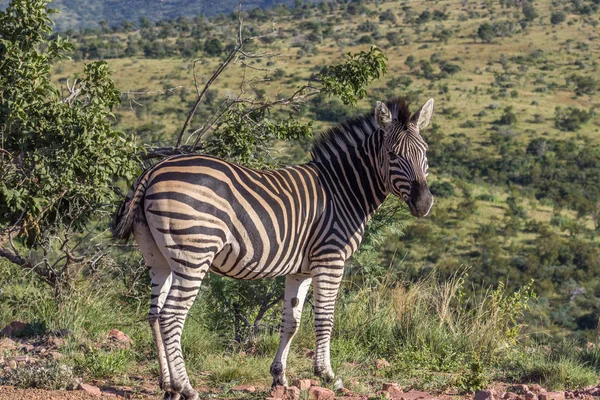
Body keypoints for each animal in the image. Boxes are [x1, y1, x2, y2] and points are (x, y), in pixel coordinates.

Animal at [111, 97, 432, 400]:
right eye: (393, 155)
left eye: (425, 153)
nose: (423, 204)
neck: (343, 190)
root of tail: (152, 171)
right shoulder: (330, 258)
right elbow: (325, 318)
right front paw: (328, 375)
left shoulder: (301, 269)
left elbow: (292, 321)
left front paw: (279, 377)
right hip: (194, 253)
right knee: (171, 316)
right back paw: (186, 387)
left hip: (159, 259)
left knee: (155, 315)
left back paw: (168, 387)